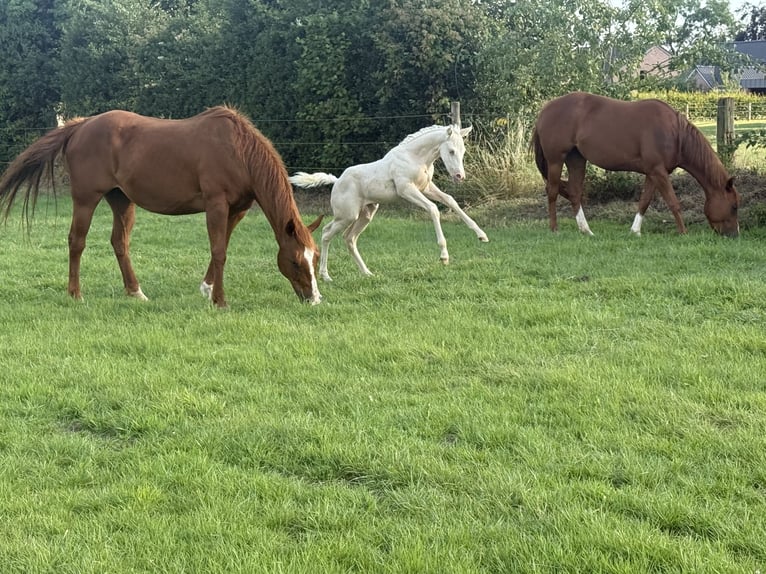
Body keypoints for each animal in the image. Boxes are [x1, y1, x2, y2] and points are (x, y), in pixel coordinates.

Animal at [0, 106, 323, 307]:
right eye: (296, 261)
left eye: (315, 259)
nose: (314, 299)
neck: (238, 151)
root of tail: (81, 125)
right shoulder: (216, 204)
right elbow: (219, 251)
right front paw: (220, 301)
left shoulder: (238, 209)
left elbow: (220, 249)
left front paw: (207, 289)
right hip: (85, 199)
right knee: (76, 241)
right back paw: (75, 294)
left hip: (121, 199)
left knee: (119, 242)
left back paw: (135, 292)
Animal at [288, 124, 488, 281]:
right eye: (451, 151)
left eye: (463, 151)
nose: (460, 176)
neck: (415, 157)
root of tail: (336, 181)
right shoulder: (406, 189)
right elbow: (433, 209)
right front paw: (444, 257)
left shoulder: (426, 188)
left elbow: (450, 201)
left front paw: (482, 235)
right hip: (347, 215)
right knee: (326, 233)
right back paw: (325, 276)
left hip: (366, 214)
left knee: (349, 238)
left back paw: (367, 273)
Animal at [532, 91, 740, 237]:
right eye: (734, 207)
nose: (734, 235)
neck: (674, 133)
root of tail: (545, 110)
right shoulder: (658, 172)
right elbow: (673, 202)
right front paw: (683, 233)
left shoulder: (654, 173)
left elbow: (644, 201)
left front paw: (635, 231)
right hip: (556, 160)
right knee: (552, 191)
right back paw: (554, 229)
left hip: (576, 159)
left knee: (574, 193)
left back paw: (587, 231)